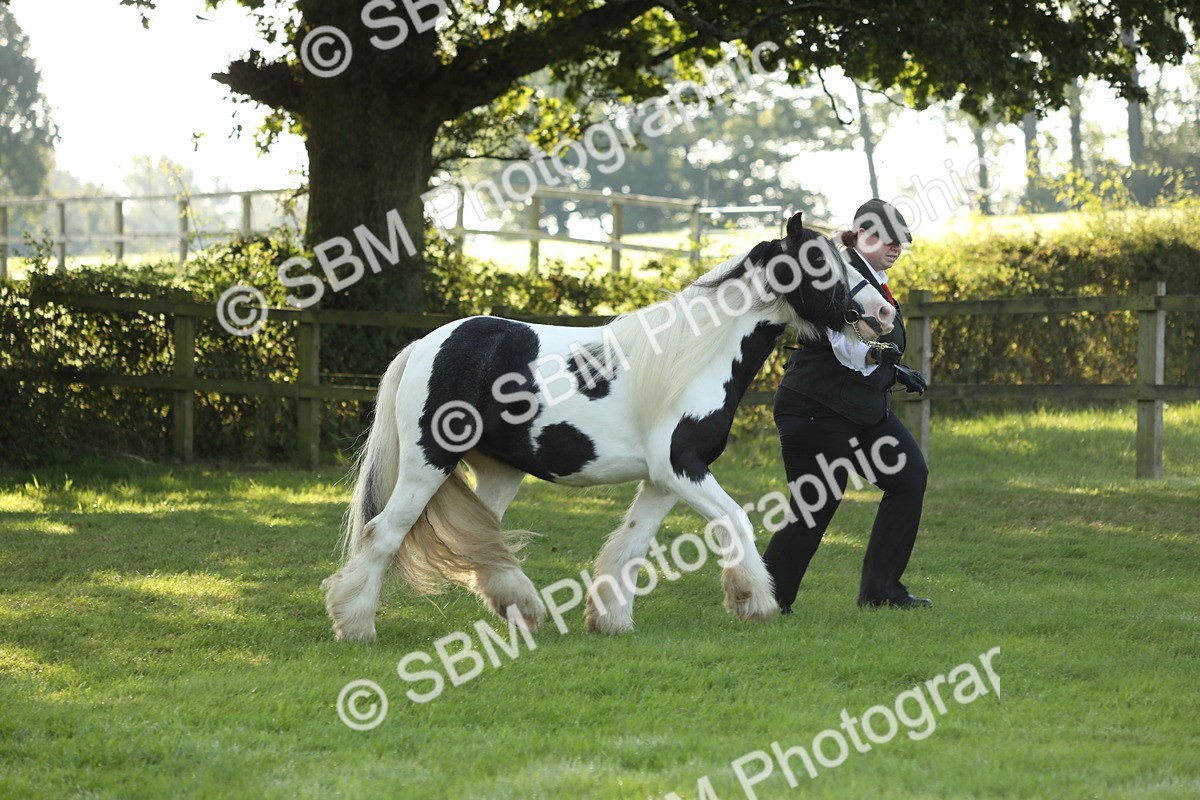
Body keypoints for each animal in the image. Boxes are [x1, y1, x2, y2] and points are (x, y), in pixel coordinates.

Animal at [321, 212, 895, 641]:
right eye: (819, 262)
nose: (882, 313)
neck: (696, 355)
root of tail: (425, 344)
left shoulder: (664, 480)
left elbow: (629, 547)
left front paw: (610, 619)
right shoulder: (682, 467)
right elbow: (735, 520)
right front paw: (754, 600)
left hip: (500, 470)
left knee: (483, 539)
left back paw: (524, 608)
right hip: (427, 464)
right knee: (382, 533)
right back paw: (356, 626)